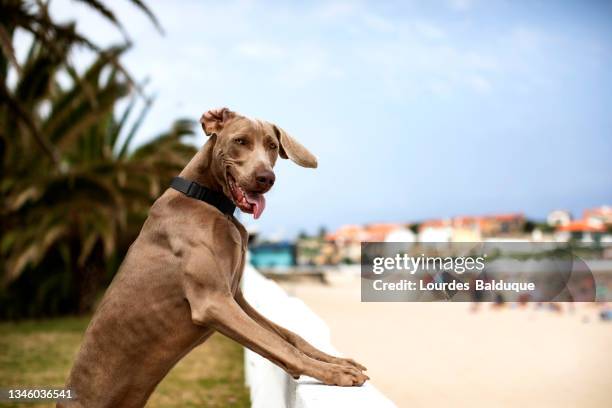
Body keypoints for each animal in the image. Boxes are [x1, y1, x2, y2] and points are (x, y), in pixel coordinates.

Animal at [59, 108, 368, 408]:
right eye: (240, 141)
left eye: (271, 145)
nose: (266, 178)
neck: (206, 198)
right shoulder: (213, 301)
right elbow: (278, 344)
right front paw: (334, 373)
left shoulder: (236, 298)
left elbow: (289, 336)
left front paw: (336, 361)